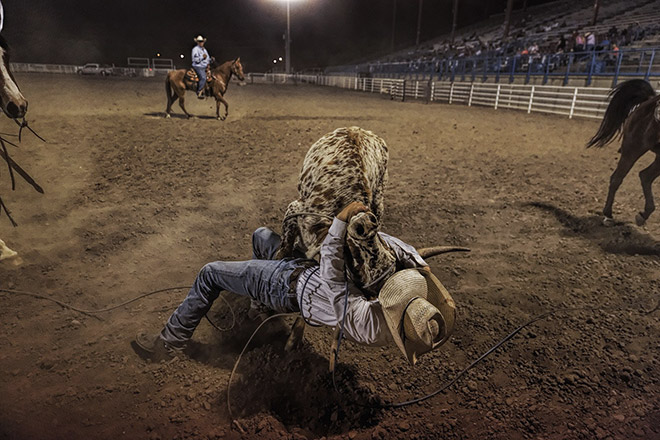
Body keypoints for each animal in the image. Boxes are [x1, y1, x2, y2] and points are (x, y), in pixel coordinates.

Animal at [584, 78, 656, 227]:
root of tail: (650, 100)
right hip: (632, 149)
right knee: (618, 178)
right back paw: (609, 215)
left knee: (645, 176)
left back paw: (642, 215)